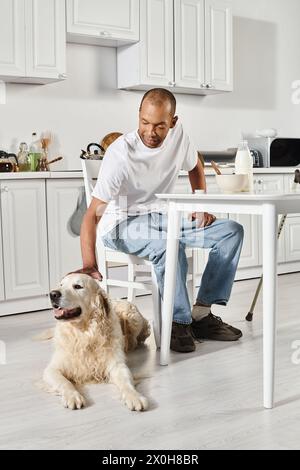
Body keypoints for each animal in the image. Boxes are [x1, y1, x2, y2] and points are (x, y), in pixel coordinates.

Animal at [43, 272, 151, 412]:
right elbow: (65, 382)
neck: (84, 334)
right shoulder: (52, 369)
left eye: (78, 286)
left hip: (133, 317)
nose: (53, 294)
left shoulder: (117, 365)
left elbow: (126, 382)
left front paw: (135, 397)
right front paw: (73, 396)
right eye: (61, 285)